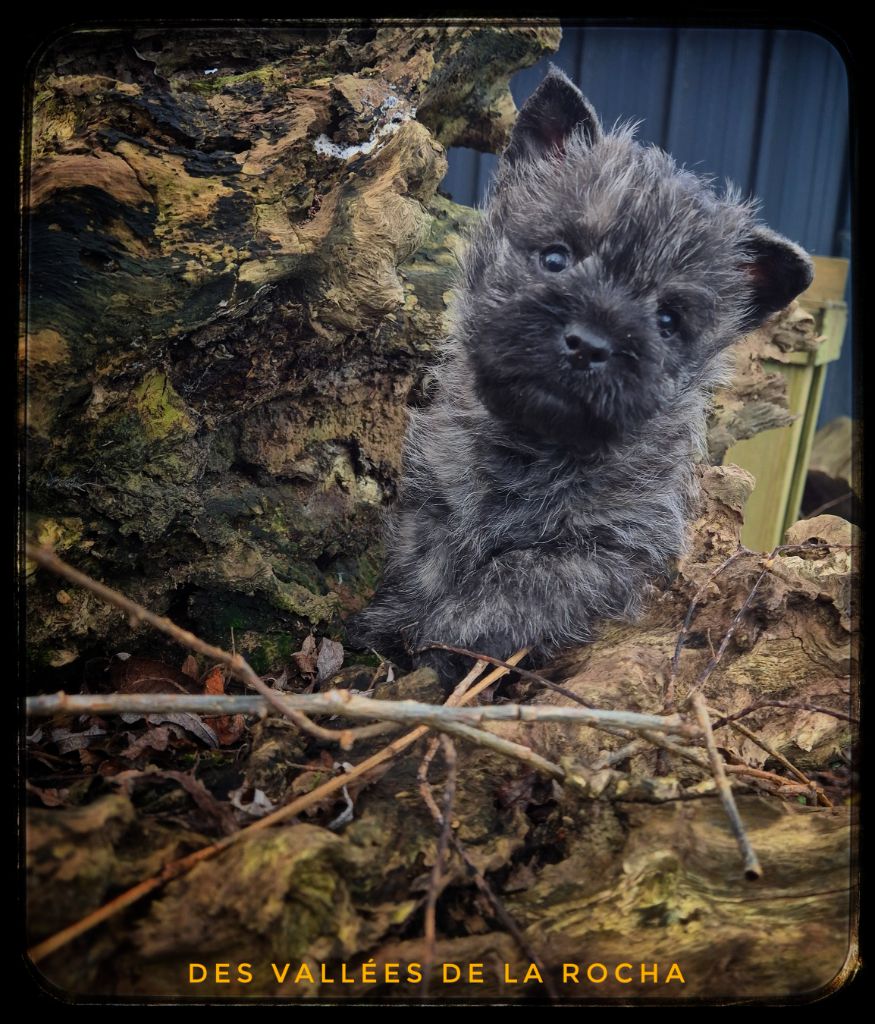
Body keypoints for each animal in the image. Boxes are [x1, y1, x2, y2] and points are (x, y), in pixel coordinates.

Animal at [348, 68, 815, 684]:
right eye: (555, 258)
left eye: (668, 320)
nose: (589, 343)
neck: (533, 449)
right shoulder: (435, 497)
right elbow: (424, 560)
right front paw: (393, 623)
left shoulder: (614, 546)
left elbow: (524, 576)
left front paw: (452, 637)